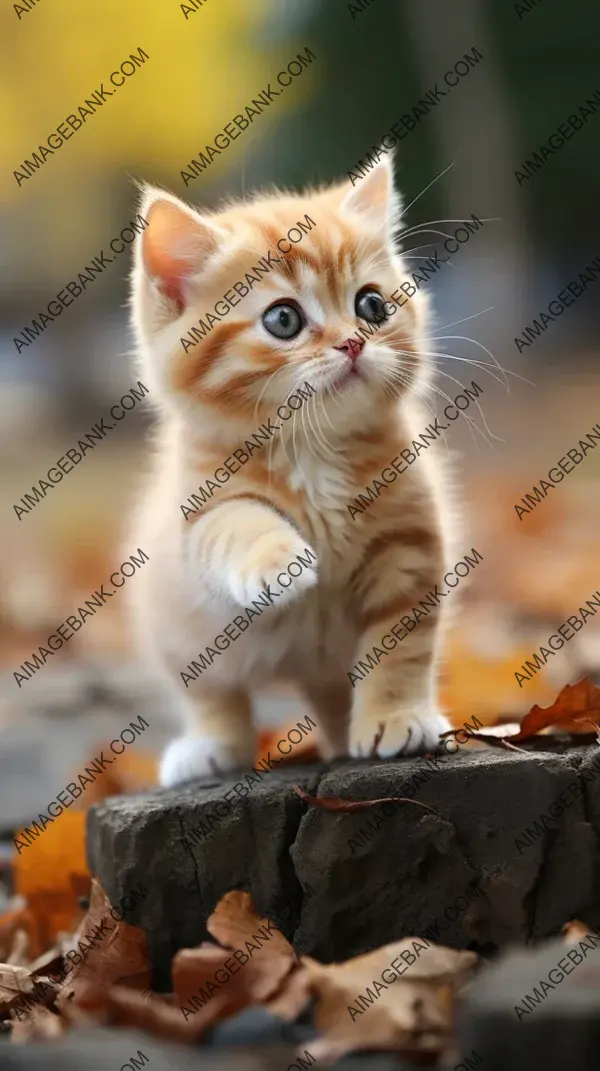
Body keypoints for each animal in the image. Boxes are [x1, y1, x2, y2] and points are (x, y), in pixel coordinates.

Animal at [127, 156, 454, 788]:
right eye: (284, 319)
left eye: (372, 306)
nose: (352, 343)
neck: (312, 450)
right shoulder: (203, 510)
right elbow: (236, 524)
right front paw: (279, 561)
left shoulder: (408, 541)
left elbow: (400, 647)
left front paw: (395, 718)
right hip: (178, 630)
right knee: (214, 696)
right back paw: (210, 748)